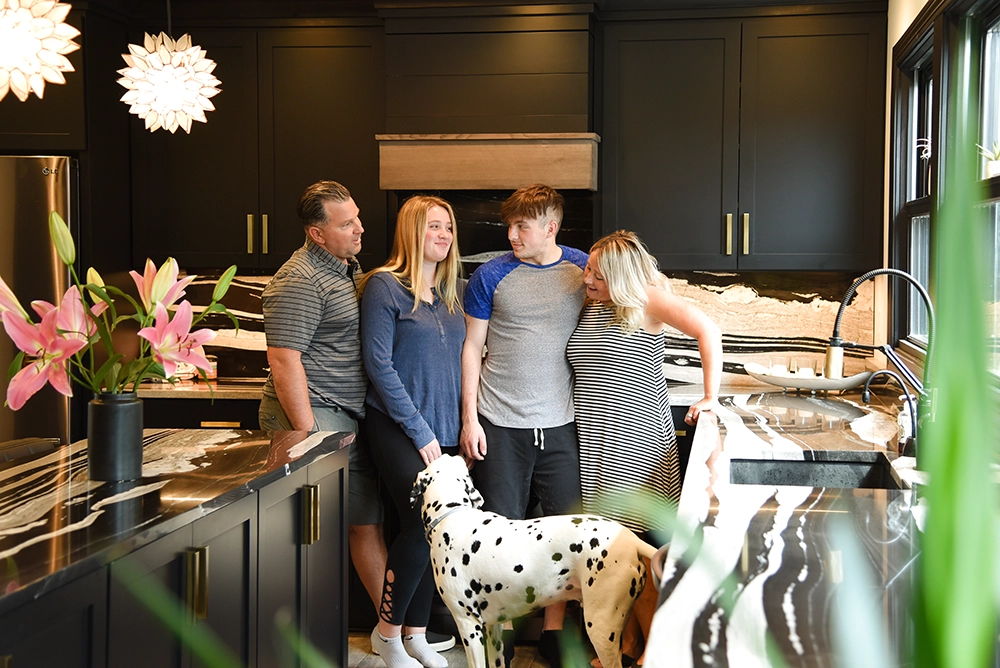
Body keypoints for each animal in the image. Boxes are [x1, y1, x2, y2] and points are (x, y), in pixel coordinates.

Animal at [410, 454, 660, 668]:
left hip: (600, 627)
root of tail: (631, 539)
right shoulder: (494, 630)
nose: (463, 454)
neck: (452, 517)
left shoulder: (469, 626)